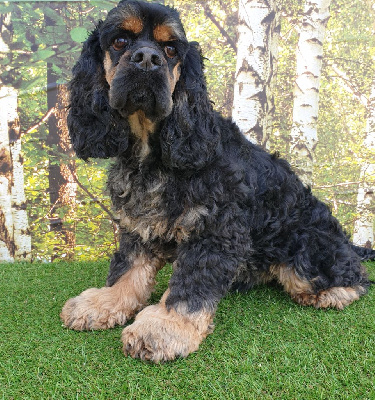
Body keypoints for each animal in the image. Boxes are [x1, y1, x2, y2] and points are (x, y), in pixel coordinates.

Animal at [60, 0, 374, 362]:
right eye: (119, 42)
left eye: (170, 49)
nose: (147, 59)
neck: (153, 154)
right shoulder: (139, 223)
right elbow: (129, 267)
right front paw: (105, 302)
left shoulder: (216, 231)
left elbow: (190, 286)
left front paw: (165, 328)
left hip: (306, 249)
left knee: (353, 276)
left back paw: (332, 291)